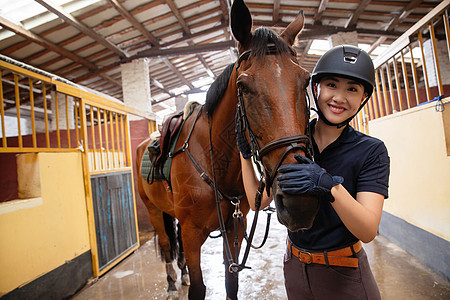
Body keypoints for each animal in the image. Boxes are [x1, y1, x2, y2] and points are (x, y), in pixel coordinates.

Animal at [135, 1, 318, 298]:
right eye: (242, 86)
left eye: (305, 81)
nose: (300, 202)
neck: (214, 162)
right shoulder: (192, 233)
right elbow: (198, 287)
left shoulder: (234, 227)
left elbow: (231, 283)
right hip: (153, 211)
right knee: (165, 244)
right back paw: (172, 282)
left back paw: (181, 275)